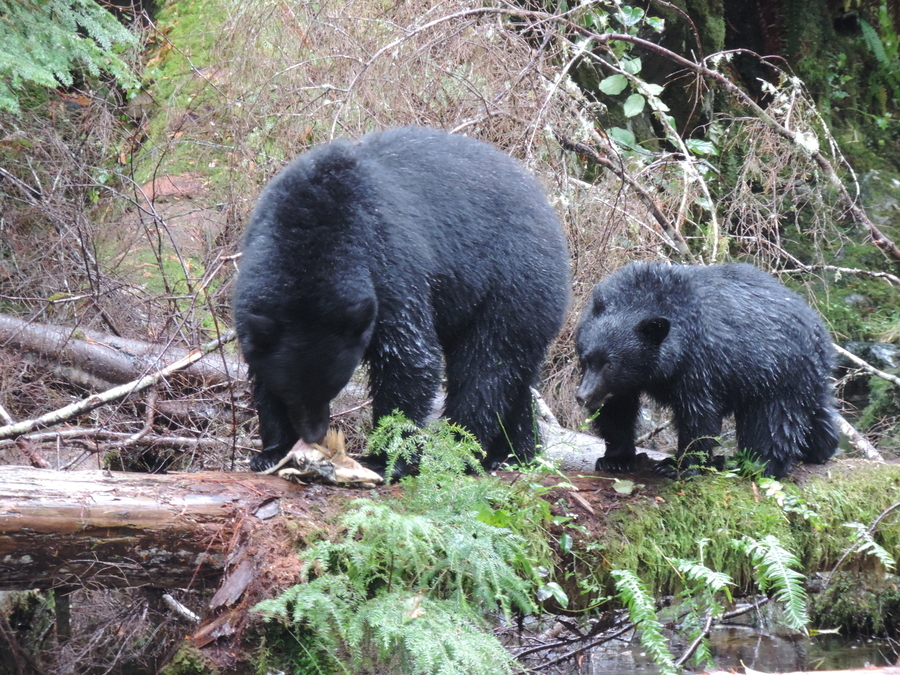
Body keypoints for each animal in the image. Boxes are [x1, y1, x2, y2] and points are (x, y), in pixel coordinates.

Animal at [232, 127, 568, 476]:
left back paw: (458, 450)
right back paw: (515, 452)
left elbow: (408, 358)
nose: (314, 435)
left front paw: (388, 459)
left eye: (334, 388)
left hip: (511, 286)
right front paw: (272, 451)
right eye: (291, 393)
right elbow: (261, 374)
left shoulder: (388, 265)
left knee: (485, 370)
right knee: (517, 379)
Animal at [576, 262, 836, 478]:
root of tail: (819, 327)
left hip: (776, 373)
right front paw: (616, 460)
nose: (582, 396)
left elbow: (698, 415)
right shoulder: (623, 384)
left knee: (773, 421)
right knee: (814, 412)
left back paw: (758, 465)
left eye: (610, 364)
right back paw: (822, 448)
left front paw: (678, 466)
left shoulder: (699, 365)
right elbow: (617, 410)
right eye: (587, 360)